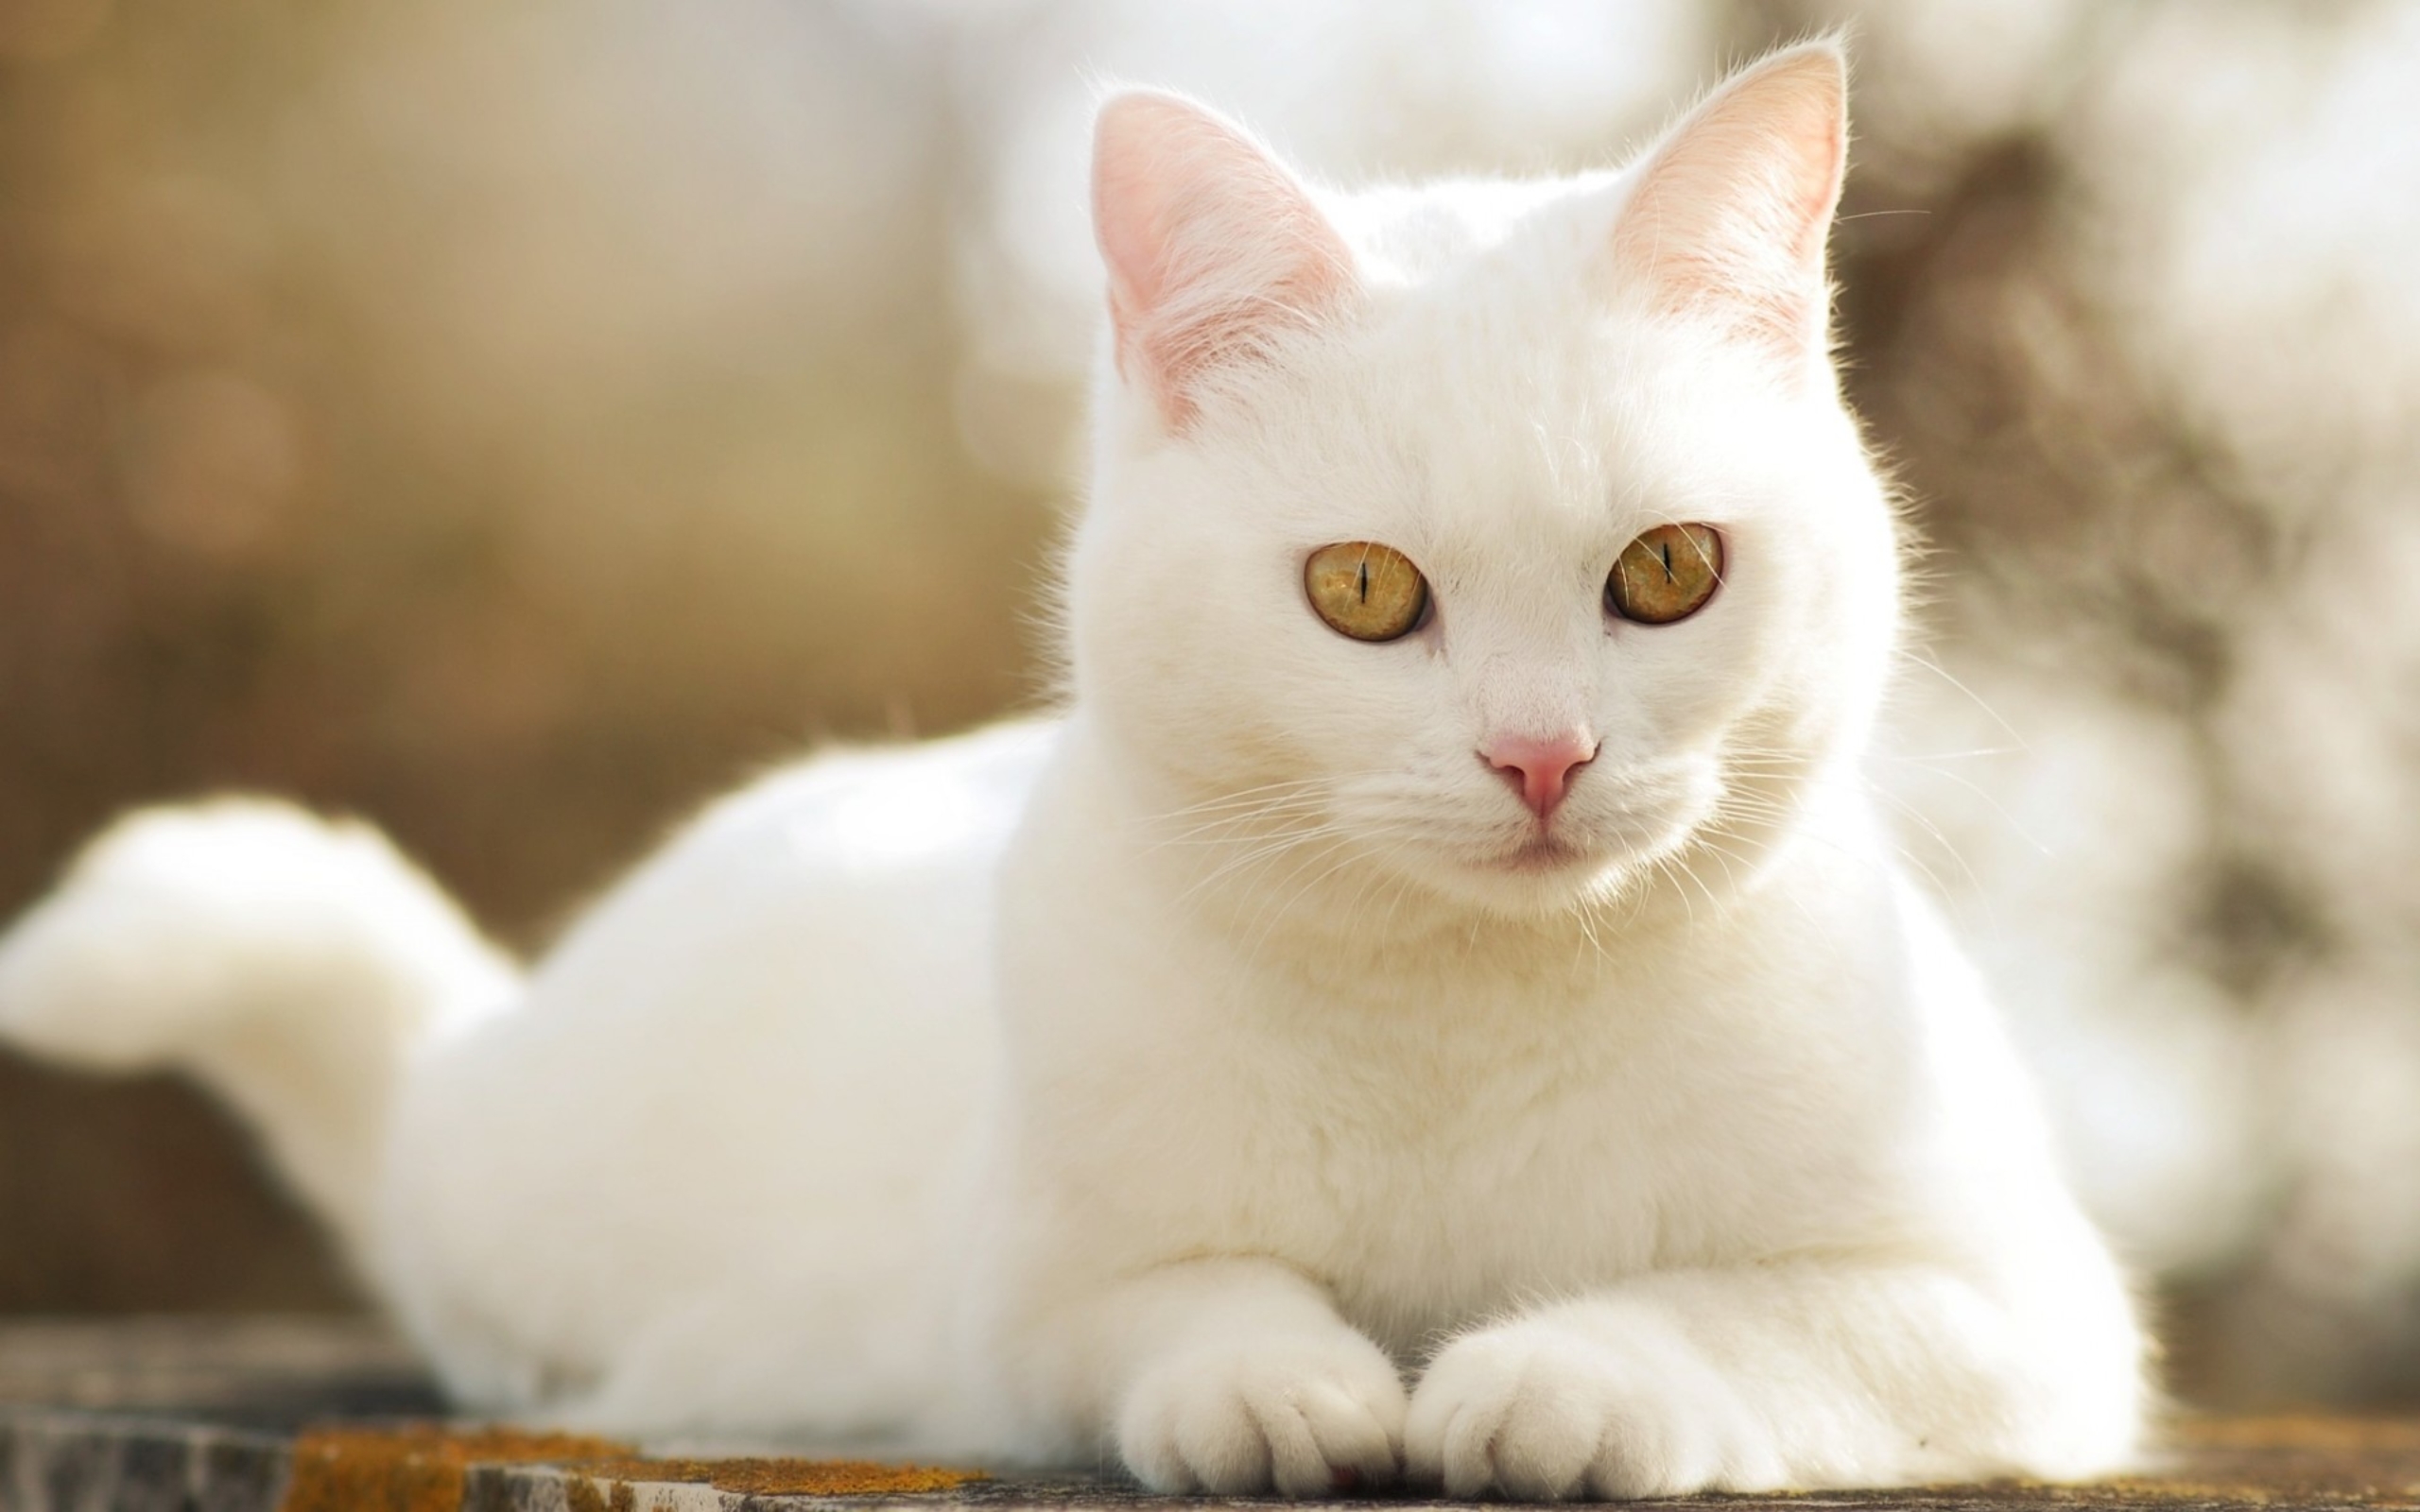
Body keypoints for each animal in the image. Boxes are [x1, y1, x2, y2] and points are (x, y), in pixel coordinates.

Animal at [5, 41, 2158, 1489]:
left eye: (1667, 573)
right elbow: (1178, 1305)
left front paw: (1561, 1379)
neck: (1469, 1024)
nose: (1539, 753)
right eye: (1363, 591)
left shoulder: (2018, 1309)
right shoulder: (1021, 1301)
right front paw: (1291, 1390)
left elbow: (1762, 1314)